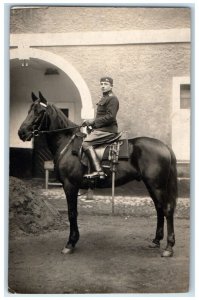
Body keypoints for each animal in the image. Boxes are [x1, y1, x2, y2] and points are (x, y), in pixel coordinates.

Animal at [18, 92, 177, 258]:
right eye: (29, 110)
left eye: (39, 111)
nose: (22, 132)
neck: (67, 144)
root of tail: (165, 146)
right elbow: (73, 213)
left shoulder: (70, 186)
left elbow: (72, 213)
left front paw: (70, 243)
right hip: (151, 185)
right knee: (159, 208)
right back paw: (156, 240)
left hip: (157, 186)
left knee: (167, 209)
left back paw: (169, 247)